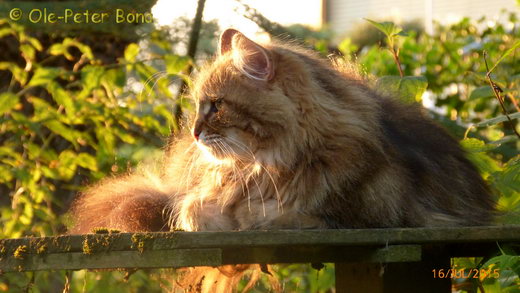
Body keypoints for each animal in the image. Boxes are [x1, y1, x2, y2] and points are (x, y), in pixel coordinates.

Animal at [70, 27, 496, 290]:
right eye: (199, 106)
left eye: (216, 107)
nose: (193, 132)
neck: (265, 166)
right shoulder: (206, 196)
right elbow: (193, 210)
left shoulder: (350, 217)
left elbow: (271, 215)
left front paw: (246, 218)